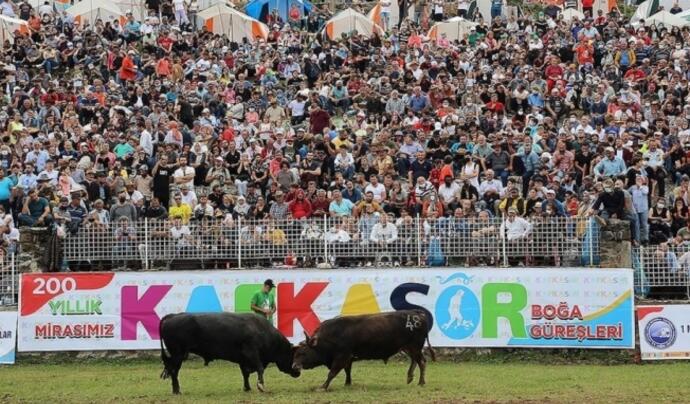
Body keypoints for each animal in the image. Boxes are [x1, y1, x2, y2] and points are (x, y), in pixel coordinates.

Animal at [159, 312, 298, 394]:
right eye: (292, 355)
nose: (298, 372)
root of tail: (172, 316)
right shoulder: (251, 353)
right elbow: (259, 369)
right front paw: (261, 386)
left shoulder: (243, 359)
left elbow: (245, 374)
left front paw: (247, 388)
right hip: (178, 354)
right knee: (174, 371)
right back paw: (177, 391)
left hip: (178, 355)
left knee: (172, 370)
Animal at [292, 310, 436, 392]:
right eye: (296, 354)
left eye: (303, 353)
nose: (294, 366)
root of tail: (419, 315)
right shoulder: (348, 358)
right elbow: (347, 371)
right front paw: (347, 383)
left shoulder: (341, 357)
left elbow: (332, 373)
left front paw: (322, 387)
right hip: (408, 347)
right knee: (415, 360)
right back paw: (410, 377)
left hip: (414, 346)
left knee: (422, 361)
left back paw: (421, 382)